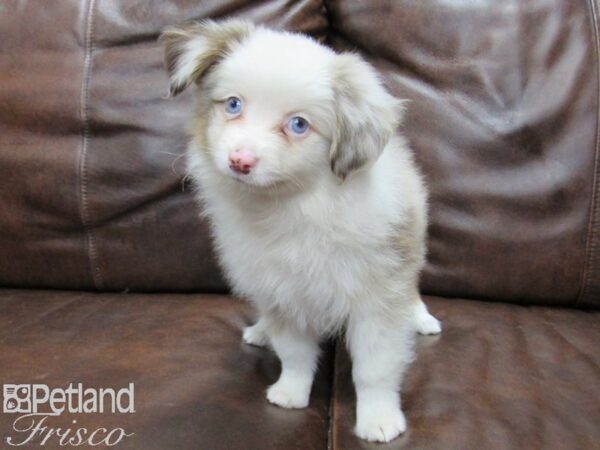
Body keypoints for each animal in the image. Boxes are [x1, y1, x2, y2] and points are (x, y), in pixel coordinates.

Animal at [159, 19, 440, 442]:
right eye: (233, 104)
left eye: (298, 125)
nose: (240, 161)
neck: (293, 206)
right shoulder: (281, 292)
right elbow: (294, 353)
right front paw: (290, 393)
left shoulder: (378, 296)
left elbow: (375, 366)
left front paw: (378, 419)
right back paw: (260, 331)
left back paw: (421, 319)